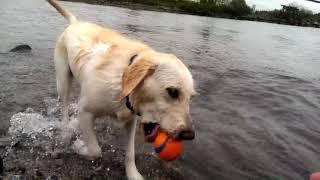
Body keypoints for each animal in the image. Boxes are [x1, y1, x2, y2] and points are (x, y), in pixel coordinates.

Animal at [46, 0, 196, 179]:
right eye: (172, 91)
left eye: (191, 98)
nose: (189, 135)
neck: (122, 83)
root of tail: (76, 22)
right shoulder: (85, 111)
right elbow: (95, 150)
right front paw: (80, 147)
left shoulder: (131, 120)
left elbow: (130, 153)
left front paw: (133, 174)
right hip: (63, 81)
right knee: (65, 107)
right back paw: (66, 130)